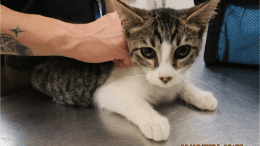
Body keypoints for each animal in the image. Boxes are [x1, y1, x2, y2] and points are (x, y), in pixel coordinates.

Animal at [30, 0, 219, 141]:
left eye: (182, 51)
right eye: (147, 52)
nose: (165, 78)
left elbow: (180, 81)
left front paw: (200, 95)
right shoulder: (104, 91)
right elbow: (133, 101)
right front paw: (155, 122)